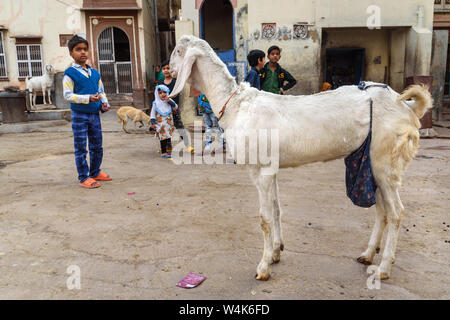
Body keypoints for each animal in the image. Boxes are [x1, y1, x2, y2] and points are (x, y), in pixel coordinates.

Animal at [168, 34, 432, 280]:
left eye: (179, 51)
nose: (168, 70)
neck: (236, 105)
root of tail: (407, 107)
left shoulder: (261, 169)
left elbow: (265, 218)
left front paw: (263, 267)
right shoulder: (271, 167)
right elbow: (276, 210)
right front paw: (276, 252)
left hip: (385, 160)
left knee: (396, 212)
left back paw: (383, 268)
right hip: (370, 162)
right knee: (381, 210)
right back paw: (367, 254)